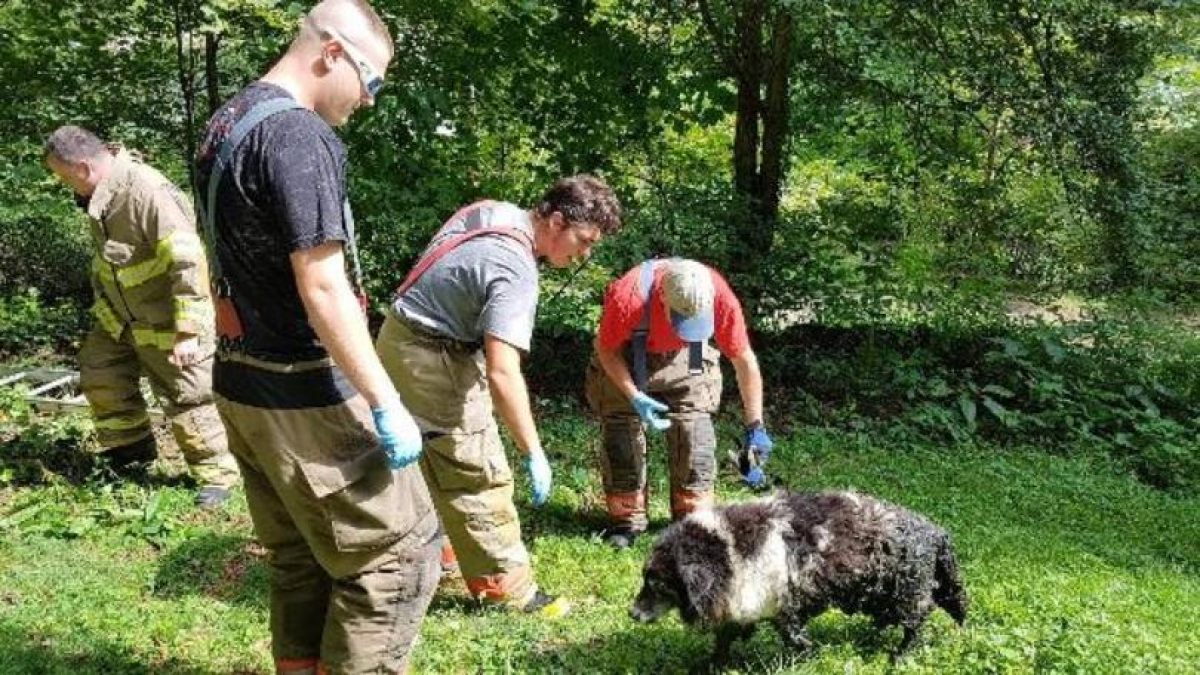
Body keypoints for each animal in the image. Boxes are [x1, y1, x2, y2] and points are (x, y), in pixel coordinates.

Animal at [628, 487, 964, 662]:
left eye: (658, 584)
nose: (631, 613)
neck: (726, 550)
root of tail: (937, 532)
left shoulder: (783, 607)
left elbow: (794, 639)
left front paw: (806, 658)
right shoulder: (741, 603)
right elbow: (725, 638)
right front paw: (713, 663)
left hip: (907, 594)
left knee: (916, 623)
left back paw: (901, 655)